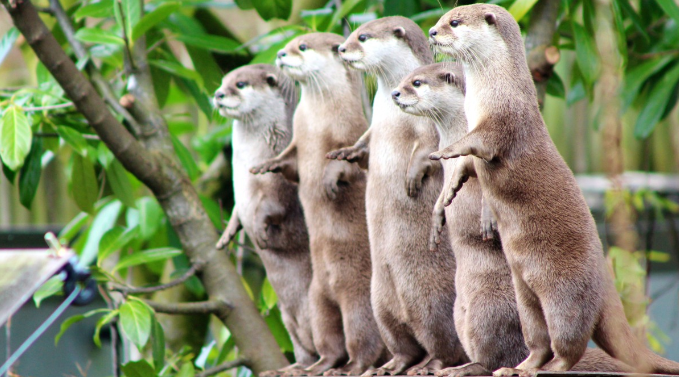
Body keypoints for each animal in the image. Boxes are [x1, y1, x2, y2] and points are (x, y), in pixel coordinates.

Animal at [212, 64, 318, 374]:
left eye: (241, 84)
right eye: (223, 81)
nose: (218, 94)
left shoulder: (277, 178)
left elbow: (272, 207)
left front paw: (259, 232)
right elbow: (237, 209)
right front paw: (227, 235)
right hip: (288, 318)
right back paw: (293, 367)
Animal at [250, 33, 388, 376]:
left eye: (302, 47)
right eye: (290, 43)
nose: (280, 53)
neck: (316, 120)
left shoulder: (347, 130)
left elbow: (345, 162)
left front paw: (329, 181)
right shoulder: (298, 139)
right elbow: (289, 162)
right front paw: (266, 165)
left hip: (358, 300)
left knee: (363, 341)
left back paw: (352, 366)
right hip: (317, 301)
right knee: (329, 341)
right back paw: (318, 365)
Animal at [328, 16, 468, 374]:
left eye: (362, 37)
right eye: (351, 33)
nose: (341, 49)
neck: (391, 116)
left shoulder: (429, 127)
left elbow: (429, 150)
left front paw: (412, 177)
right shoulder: (374, 126)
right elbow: (364, 143)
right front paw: (347, 154)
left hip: (429, 301)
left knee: (443, 343)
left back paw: (431, 363)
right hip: (379, 301)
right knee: (401, 342)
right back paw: (391, 364)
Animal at [394, 61, 636, 376]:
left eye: (417, 82)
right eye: (406, 77)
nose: (395, 93)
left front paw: (486, 217)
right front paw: (439, 213)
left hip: (488, 309)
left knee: (495, 355)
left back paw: (466, 367)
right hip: (460, 312)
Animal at [428, 3, 679, 376]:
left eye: (454, 22)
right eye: (442, 19)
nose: (431, 32)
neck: (490, 92)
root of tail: (605, 284)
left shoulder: (505, 118)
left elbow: (478, 143)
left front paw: (445, 151)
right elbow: (468, 166)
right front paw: (448, 191)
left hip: (564, 295)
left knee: (569, 343)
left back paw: (545, 368)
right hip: (524, 295)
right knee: (538, 341)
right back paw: (518, 367)